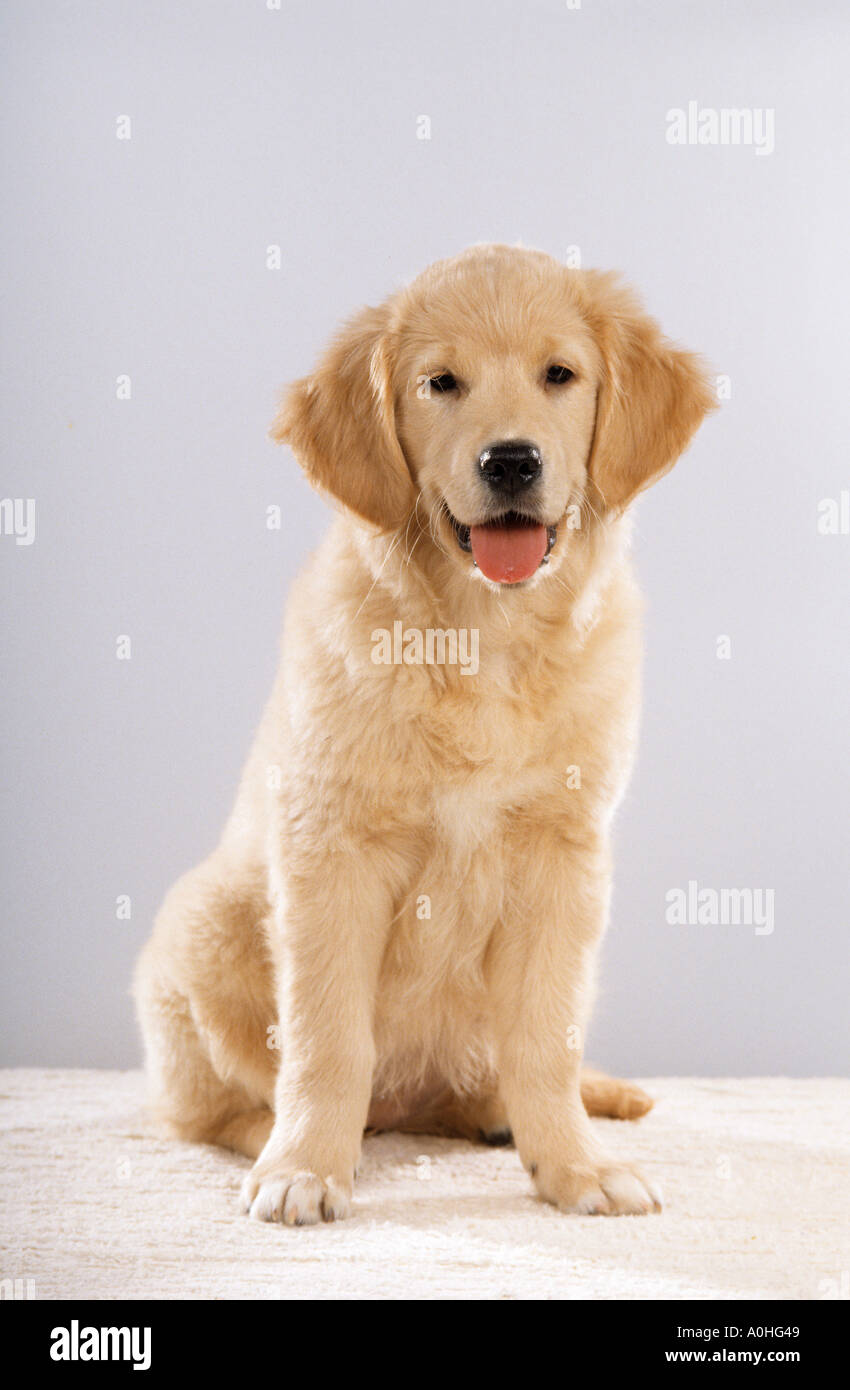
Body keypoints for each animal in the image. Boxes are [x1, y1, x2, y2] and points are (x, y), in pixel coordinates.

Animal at [134, 244, 716, 1223]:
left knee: (496, 1073)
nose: (511, 461)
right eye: (441, 383)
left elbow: (545, 1037)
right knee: (206, 1110)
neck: (482, 637)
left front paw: (575, 1166)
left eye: (560, 375)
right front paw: (307, 1168)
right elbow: (328, 1037)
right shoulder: (330, 848)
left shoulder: (564, 857)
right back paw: (287, 1139)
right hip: (201, 924)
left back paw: (543, 1108)